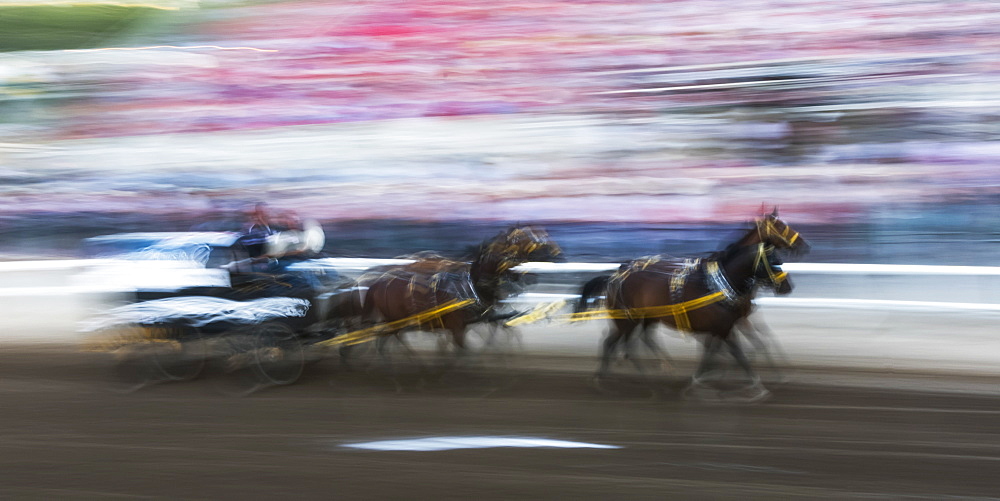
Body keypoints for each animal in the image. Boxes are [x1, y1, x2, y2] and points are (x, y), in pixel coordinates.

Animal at [576, 208, 808, 398]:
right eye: (781, 226)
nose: (804, 245)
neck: (718, 284)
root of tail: (616, 276)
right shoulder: (724, 325)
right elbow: (733, 351)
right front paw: (752, 383)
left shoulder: (735, 320)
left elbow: (755, 342)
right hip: (627, 318)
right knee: (617, 343)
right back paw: (629, 379)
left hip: (645, 317)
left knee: (635, 340)